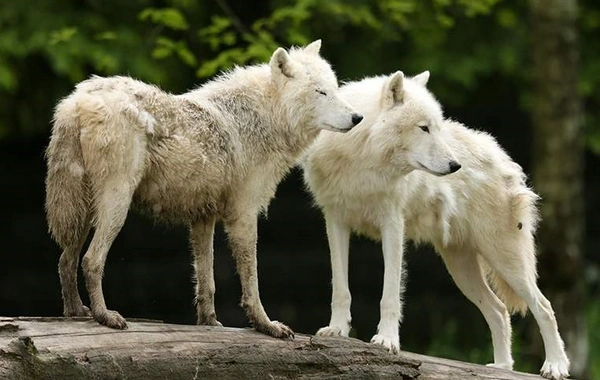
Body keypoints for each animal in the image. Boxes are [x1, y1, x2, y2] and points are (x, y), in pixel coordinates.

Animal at [44, 40, 364, 338]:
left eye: (335, 90)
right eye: (320, 93)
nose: (357, 118)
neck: (264, 119)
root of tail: (75, 103)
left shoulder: (203, 217)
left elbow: (206, 279)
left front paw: (209, 322)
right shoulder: (243, 214)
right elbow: (252, 280)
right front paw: (266, 325)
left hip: (83, 211)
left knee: (65, 259)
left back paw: (75, 312)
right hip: (115, 204)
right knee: (91, 260)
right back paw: (105, 316)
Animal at [302, 70, 568, 378]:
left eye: (437, 128)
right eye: (424, 128)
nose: (455, 166)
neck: (362, 156)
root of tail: (503, 158)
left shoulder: (393, 225)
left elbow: (389, 294)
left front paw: (387, 341)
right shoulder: (335, 221)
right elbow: (340, 286)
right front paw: (337, 330)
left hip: (505, 260)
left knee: (544, 307)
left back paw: (556, 366)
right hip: (461, 268)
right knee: (499, 310)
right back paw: (502, 367)